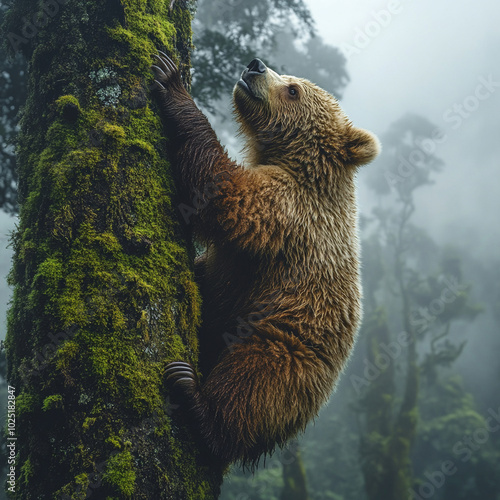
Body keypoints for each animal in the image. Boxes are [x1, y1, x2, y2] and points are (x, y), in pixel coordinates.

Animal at [150, 52, 380, 466]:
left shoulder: (286, 211)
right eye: (285, 74)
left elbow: (223, 193)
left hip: (285, 344)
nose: (255, 64)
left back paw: (197, 402)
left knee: (253, 386)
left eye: (293, 89)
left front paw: (172, 83)